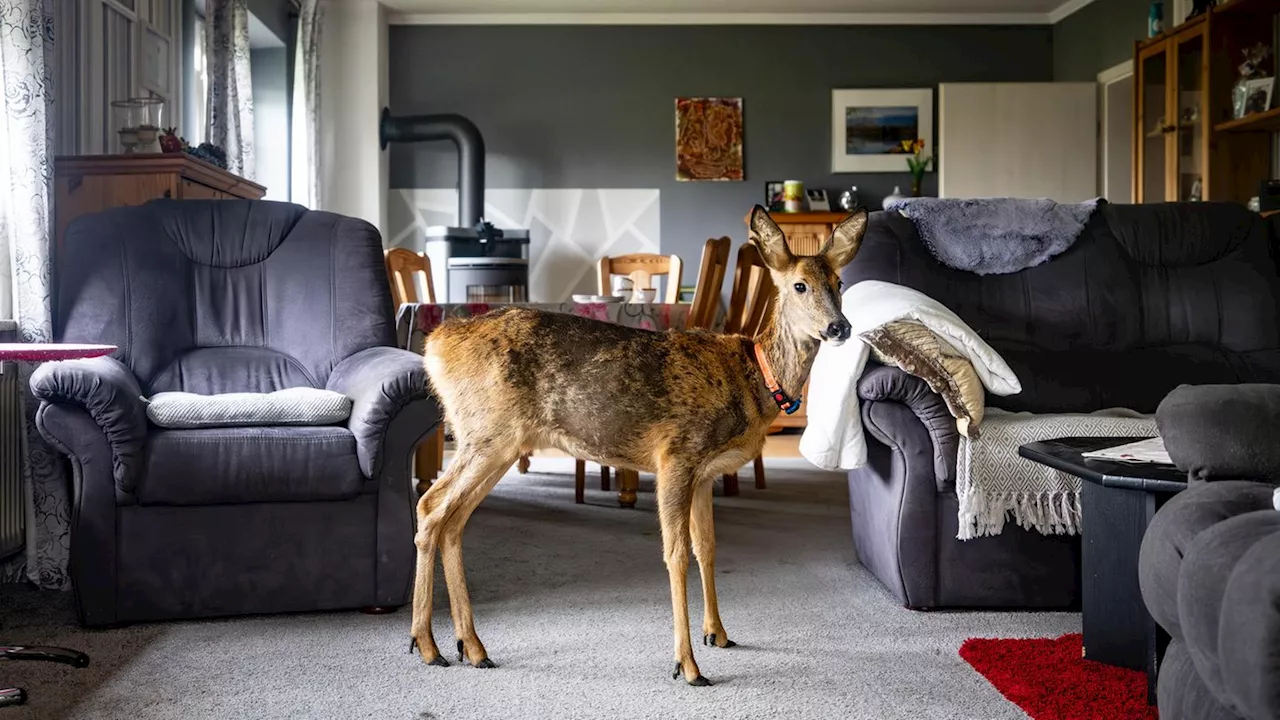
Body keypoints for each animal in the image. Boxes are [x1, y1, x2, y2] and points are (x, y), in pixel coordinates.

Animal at [409, 203, 870, 681]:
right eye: (799, 285)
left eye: (839, 283)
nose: (839, 327)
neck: (756, 377)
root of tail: (437, 345)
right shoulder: (676, 455)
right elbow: (676, 553)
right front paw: (688, 664)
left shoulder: (705, 474)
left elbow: (707, 547)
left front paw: (719, 634)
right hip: (488, 433)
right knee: (431, 506)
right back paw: (427, 644)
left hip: (493, 441)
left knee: (452, 521)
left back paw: (470, 646)